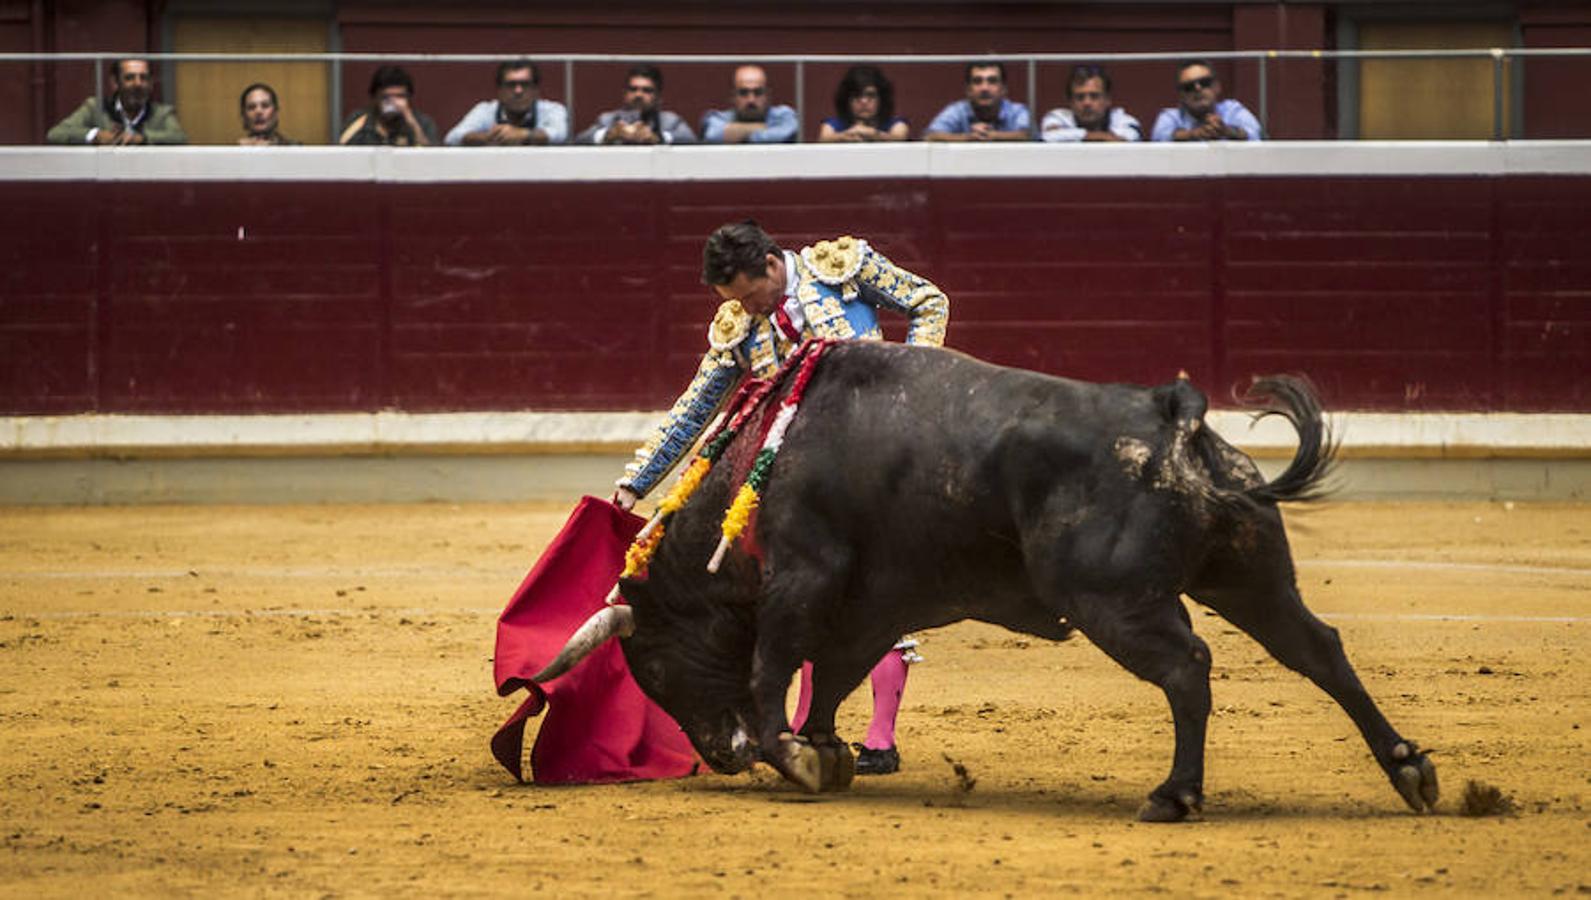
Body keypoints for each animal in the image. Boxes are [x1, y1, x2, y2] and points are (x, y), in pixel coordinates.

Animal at [540, 345, 1438, 826]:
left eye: (651, 666)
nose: (720, 758)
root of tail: (1172, 417)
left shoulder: (802, 575)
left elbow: (774, 663)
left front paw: (789, 754)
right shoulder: (871, 603)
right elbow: (833, 675)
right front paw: (824, 750)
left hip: (1116, 602)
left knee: (1187, 668)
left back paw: (1174, 795)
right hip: (1249, 578)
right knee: (1317, 650)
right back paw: (1408, 769)